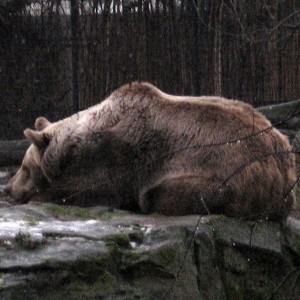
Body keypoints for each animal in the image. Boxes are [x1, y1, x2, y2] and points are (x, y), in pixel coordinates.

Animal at [2, 82, 298, 220]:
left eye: (24, 167)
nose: (8, 187)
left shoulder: (113, 163)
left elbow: (83, 192)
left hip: (225, 178)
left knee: (162, 194)